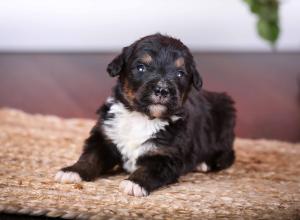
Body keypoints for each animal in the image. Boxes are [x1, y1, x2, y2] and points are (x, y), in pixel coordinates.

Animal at [55, 34, 236, 196]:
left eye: (180, 73)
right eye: (141, 67)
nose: (162, 89)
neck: (142, 117)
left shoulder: (166, 155)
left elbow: (149, 169)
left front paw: (134, 183)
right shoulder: (106, 137)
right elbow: (91, 157)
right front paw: (72, 171)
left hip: (226, 120)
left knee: (228, 154)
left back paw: (204, 163)